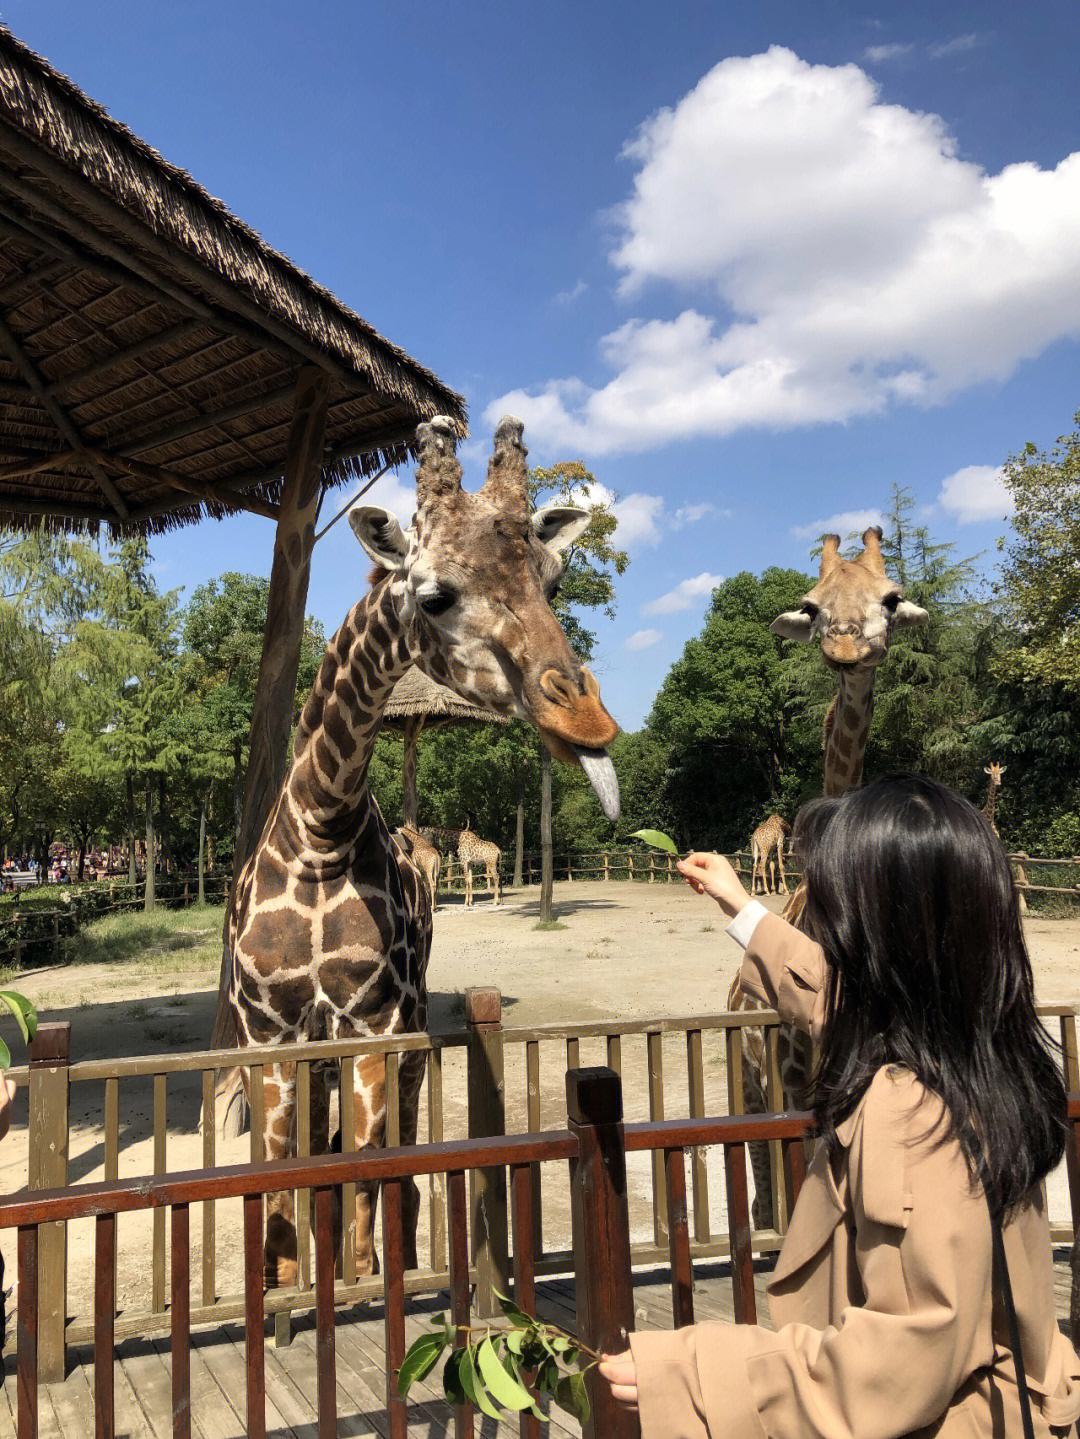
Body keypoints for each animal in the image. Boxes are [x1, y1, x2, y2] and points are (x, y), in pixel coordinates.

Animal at [220, 414, 621, 1283]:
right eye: (435, 594)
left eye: (553, 581)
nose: (589, 722)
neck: (321, 828)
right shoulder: (271, 1033)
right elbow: (279, 1191)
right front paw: (284, 1286)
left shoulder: (374, 1025)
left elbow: (364, 1179)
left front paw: (368, 1277)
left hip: (403, 1028)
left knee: (391, 1159)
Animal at [736, 529, 931, 1226]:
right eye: (811, 604)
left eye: (891, 596)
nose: (846, 646)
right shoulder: (792, 1083)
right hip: (749, 1080)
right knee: (761, 1183)